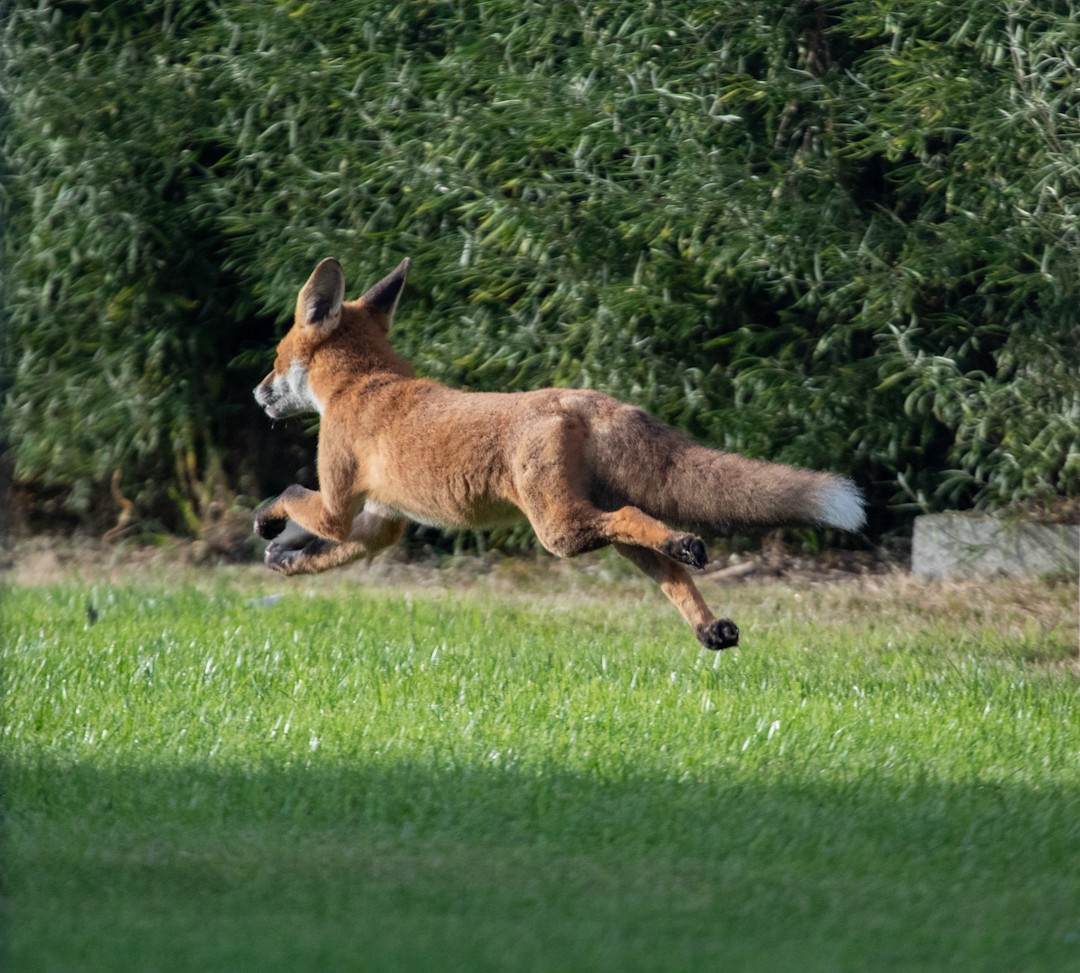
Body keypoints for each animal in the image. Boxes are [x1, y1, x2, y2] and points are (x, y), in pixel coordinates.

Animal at [253, 257, 866, 649]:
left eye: (276, 360)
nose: (257, 393)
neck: (363, 384)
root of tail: (584, 397)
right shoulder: (382, 522)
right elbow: (328, 552)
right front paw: (286, 560)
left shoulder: (337, 504)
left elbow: (289, 492)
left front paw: (266, 524)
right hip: (598, 530)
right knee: (665, 567)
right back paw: (708, 625)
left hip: (559, 530)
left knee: (636, 520)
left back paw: (686, 545)